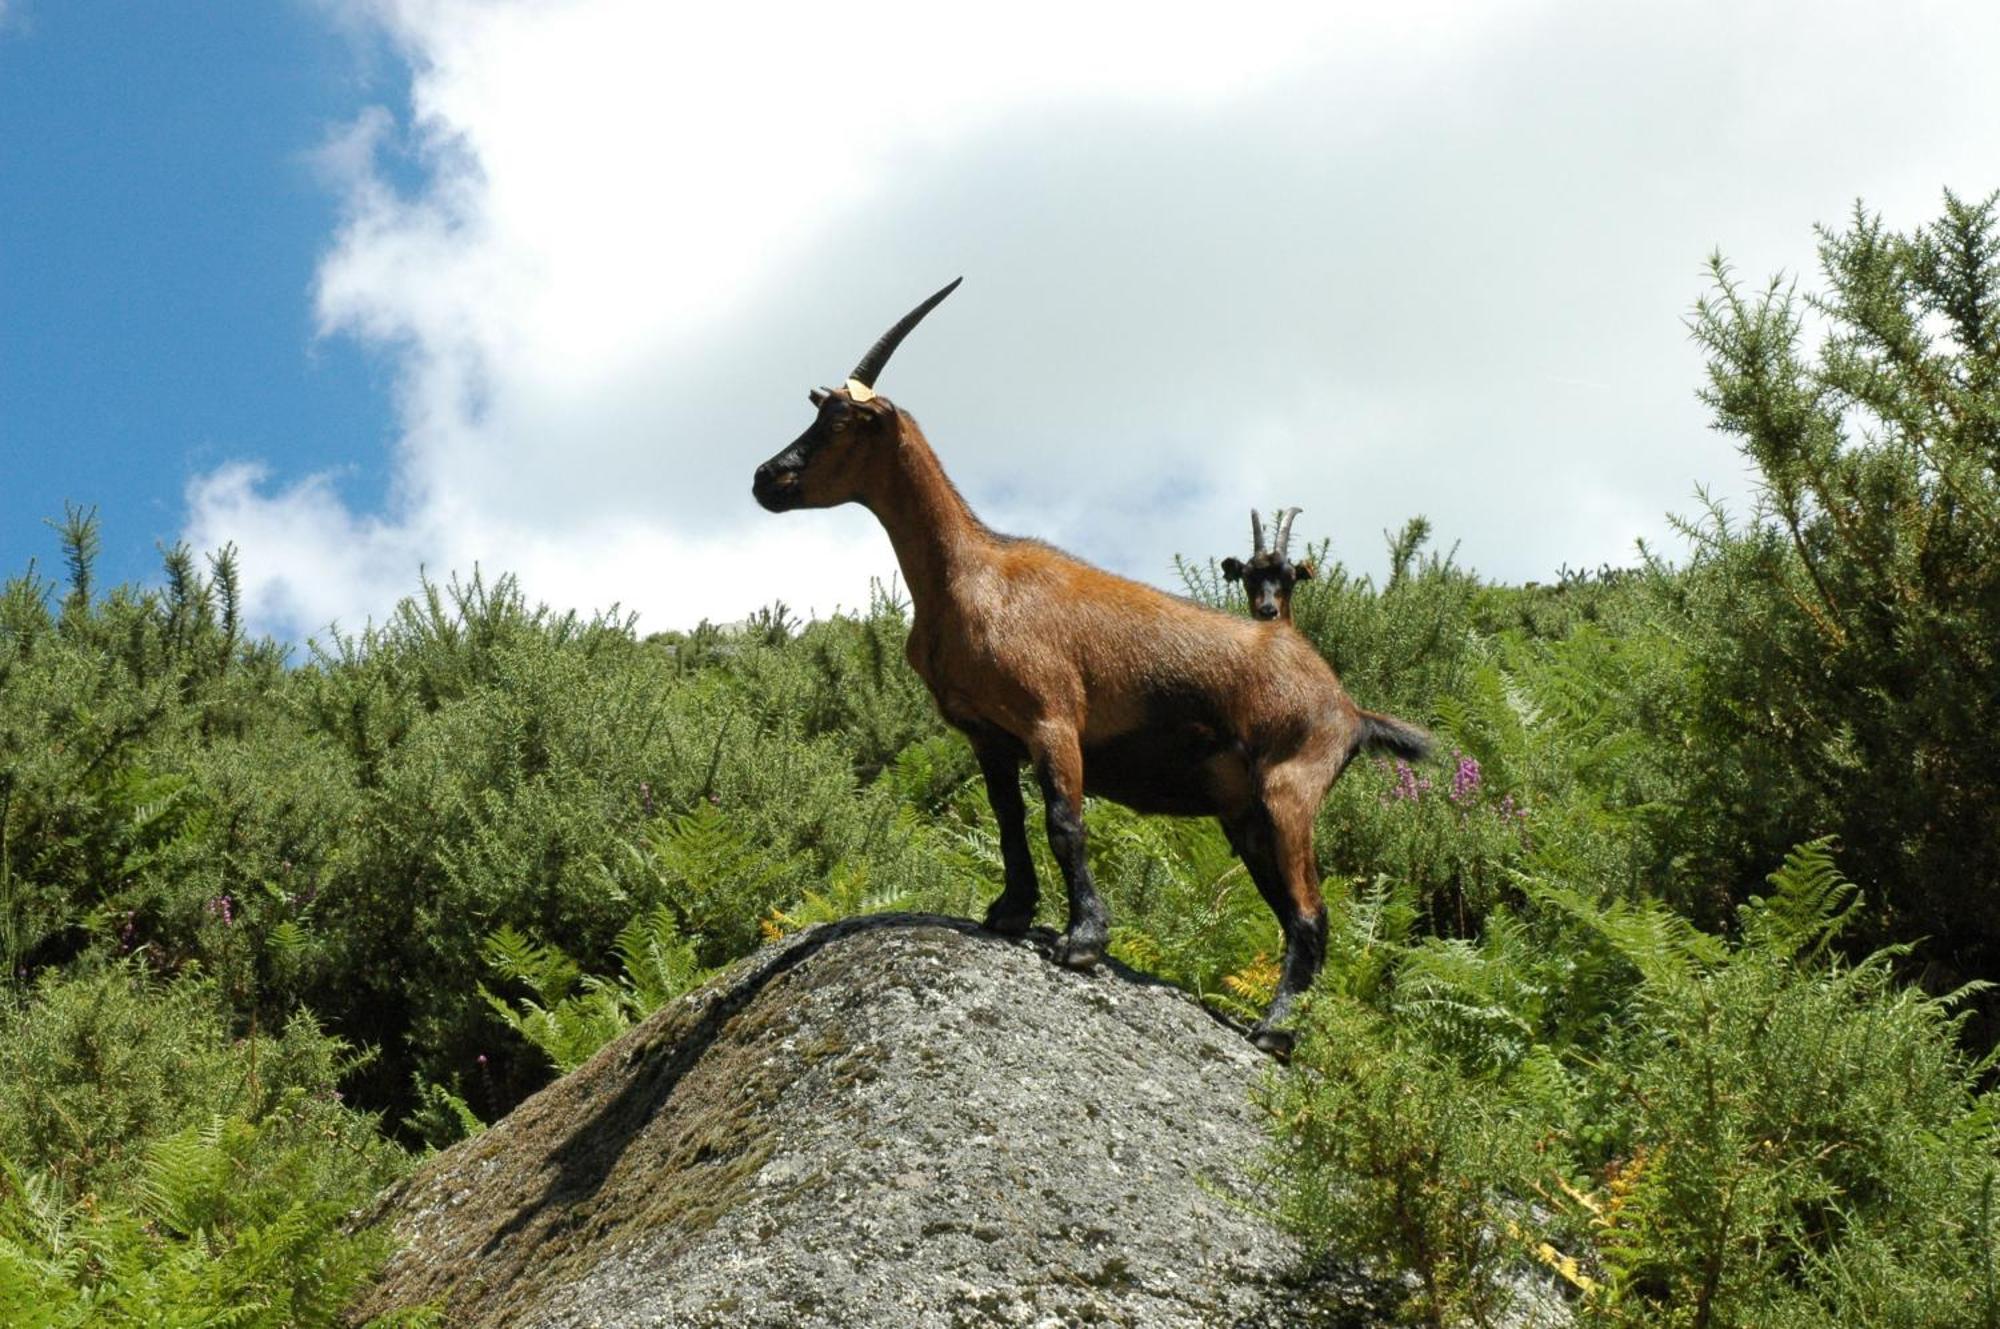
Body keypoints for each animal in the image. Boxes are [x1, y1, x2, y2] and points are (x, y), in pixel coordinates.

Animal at [748, 282, 1424, 1056]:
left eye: (844, 421)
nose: (766, 477)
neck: (970, 575)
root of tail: (1349, 711)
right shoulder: (987, 734)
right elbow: (1009, 820)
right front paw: (1009, 912)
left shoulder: (1053, 717)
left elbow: (1064, 821)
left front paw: (1082, 941)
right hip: (1245, 811)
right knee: (1290, 912)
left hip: (1292, 788)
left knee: (1311, 916)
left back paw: (1273, 1030)